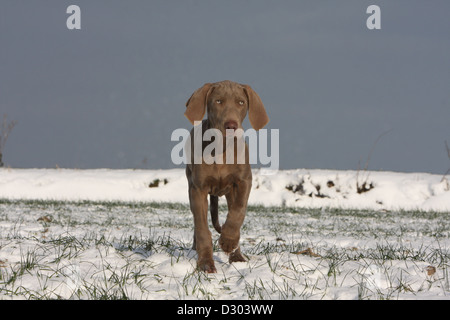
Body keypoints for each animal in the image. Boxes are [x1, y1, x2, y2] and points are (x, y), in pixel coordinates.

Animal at [185, 80, 268, 272]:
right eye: (218, 101)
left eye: (241, 102)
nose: (231, 125)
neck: (221, 148)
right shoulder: (198, 189)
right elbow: (202, 228)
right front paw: (205, 262)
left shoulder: (244, 181)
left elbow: (238, 211)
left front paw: (229, 240)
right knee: (197, 221)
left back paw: (236, 255)